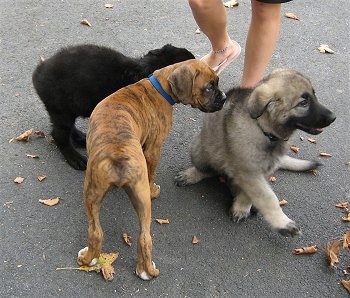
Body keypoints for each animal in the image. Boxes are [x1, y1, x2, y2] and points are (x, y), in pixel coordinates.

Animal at [77, 59, 227, 280]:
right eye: (209, 87)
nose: (224, 97)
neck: (160, 87)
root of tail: (117, 154)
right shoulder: (154, 149)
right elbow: (152, 173)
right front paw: (154, 188)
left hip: (95, 192)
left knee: (96, 232)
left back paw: (89, 259)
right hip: (140, 195)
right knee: (145, 238)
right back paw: (146, 270)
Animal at [175, 69, 336, 237]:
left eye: (314, 95)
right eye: (303, 103)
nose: (333, 117)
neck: (266, 131)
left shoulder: (260, 172)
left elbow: (251, 194)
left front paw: (242, 206)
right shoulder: (248, 171)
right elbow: (268, 198)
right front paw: (283, 223)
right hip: (200, 149)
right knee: (207, 170)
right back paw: (192, 174)